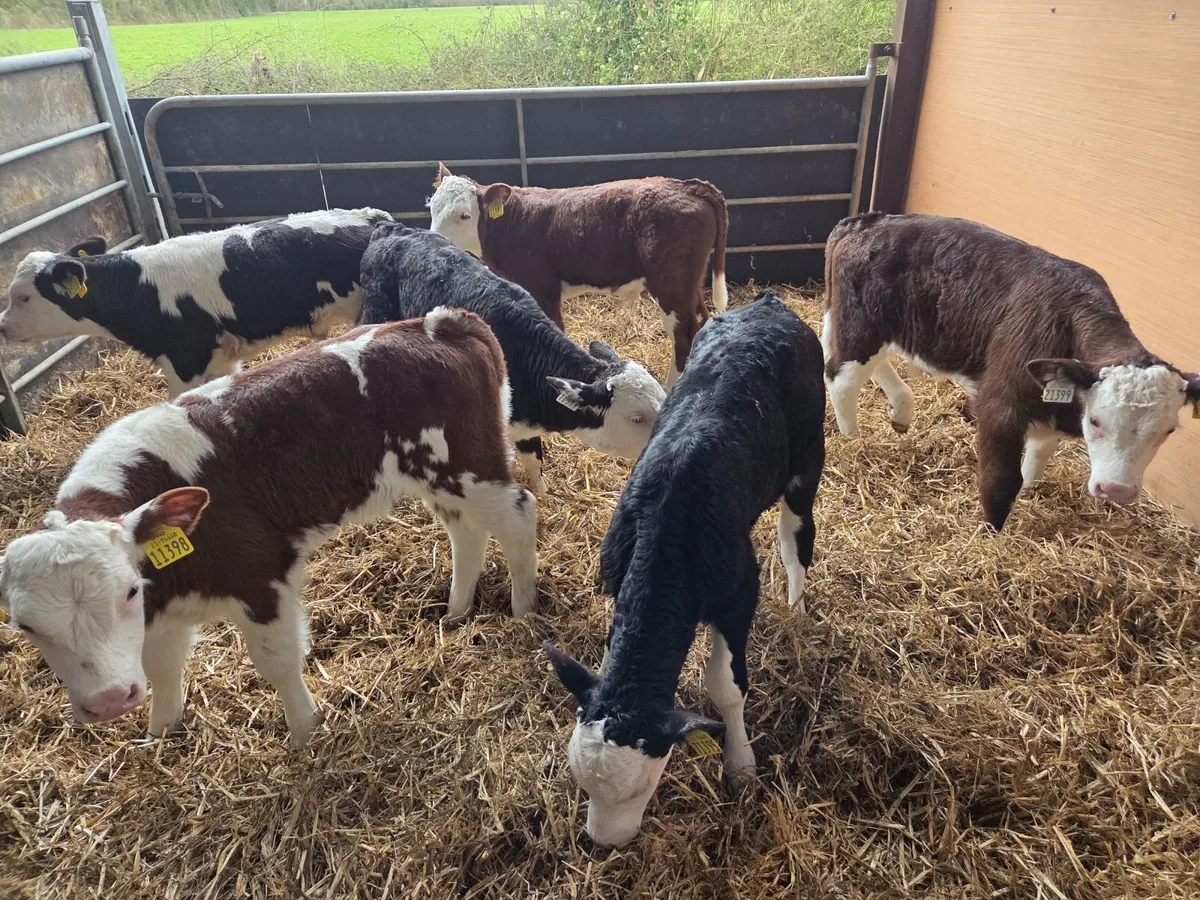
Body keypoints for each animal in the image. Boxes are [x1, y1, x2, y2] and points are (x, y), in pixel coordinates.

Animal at [0, 208, 393, 398]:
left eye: (22, 296)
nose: (2, 327)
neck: (138, 288)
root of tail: (372, 216)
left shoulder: (185, 361)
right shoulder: (220, 359)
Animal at [0, 308, 538, 748]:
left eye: (127, 592)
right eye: (25, 626)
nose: (109, 700)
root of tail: (441, 321)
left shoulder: (260, 575)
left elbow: (276, 660)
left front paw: (305, 733)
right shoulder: (163, 608)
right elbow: (162, 664)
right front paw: (160, 734)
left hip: (471, 465)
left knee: (519, 515)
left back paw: (524, 610)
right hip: (439, 479)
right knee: (465, 532)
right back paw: (456, 612)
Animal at [427, 164, 728, 388]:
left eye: (464, 215)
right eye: (431, 207)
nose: (434, 239)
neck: (512, 223)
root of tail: (687, 185)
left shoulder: (543, 288)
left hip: (670, 285)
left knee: (683, 334)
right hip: (689, 284)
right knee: (700, 320)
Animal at [544, 290, 826, 847]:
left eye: (640, 787)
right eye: (579, 777)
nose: (603, 843)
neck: (668, 519)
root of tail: (767, 303)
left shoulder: (738, 595)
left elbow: (726, 686)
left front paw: (741, 763)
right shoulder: (617, 579)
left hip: (809, 459)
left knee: (795, 536)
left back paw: (797, 606)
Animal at [821, 212, 1200, 532]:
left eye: (1168, 431)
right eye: (1095, 421)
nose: (1116, 490)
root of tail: (868, 220)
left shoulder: (1052, 411)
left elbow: (1035, 461)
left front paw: (1027, 494)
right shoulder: (999, 404)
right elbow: (1003, 479)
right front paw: (990, 533)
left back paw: (900, 412)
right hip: (862, 325)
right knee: (840, 378)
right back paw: (852, 437)